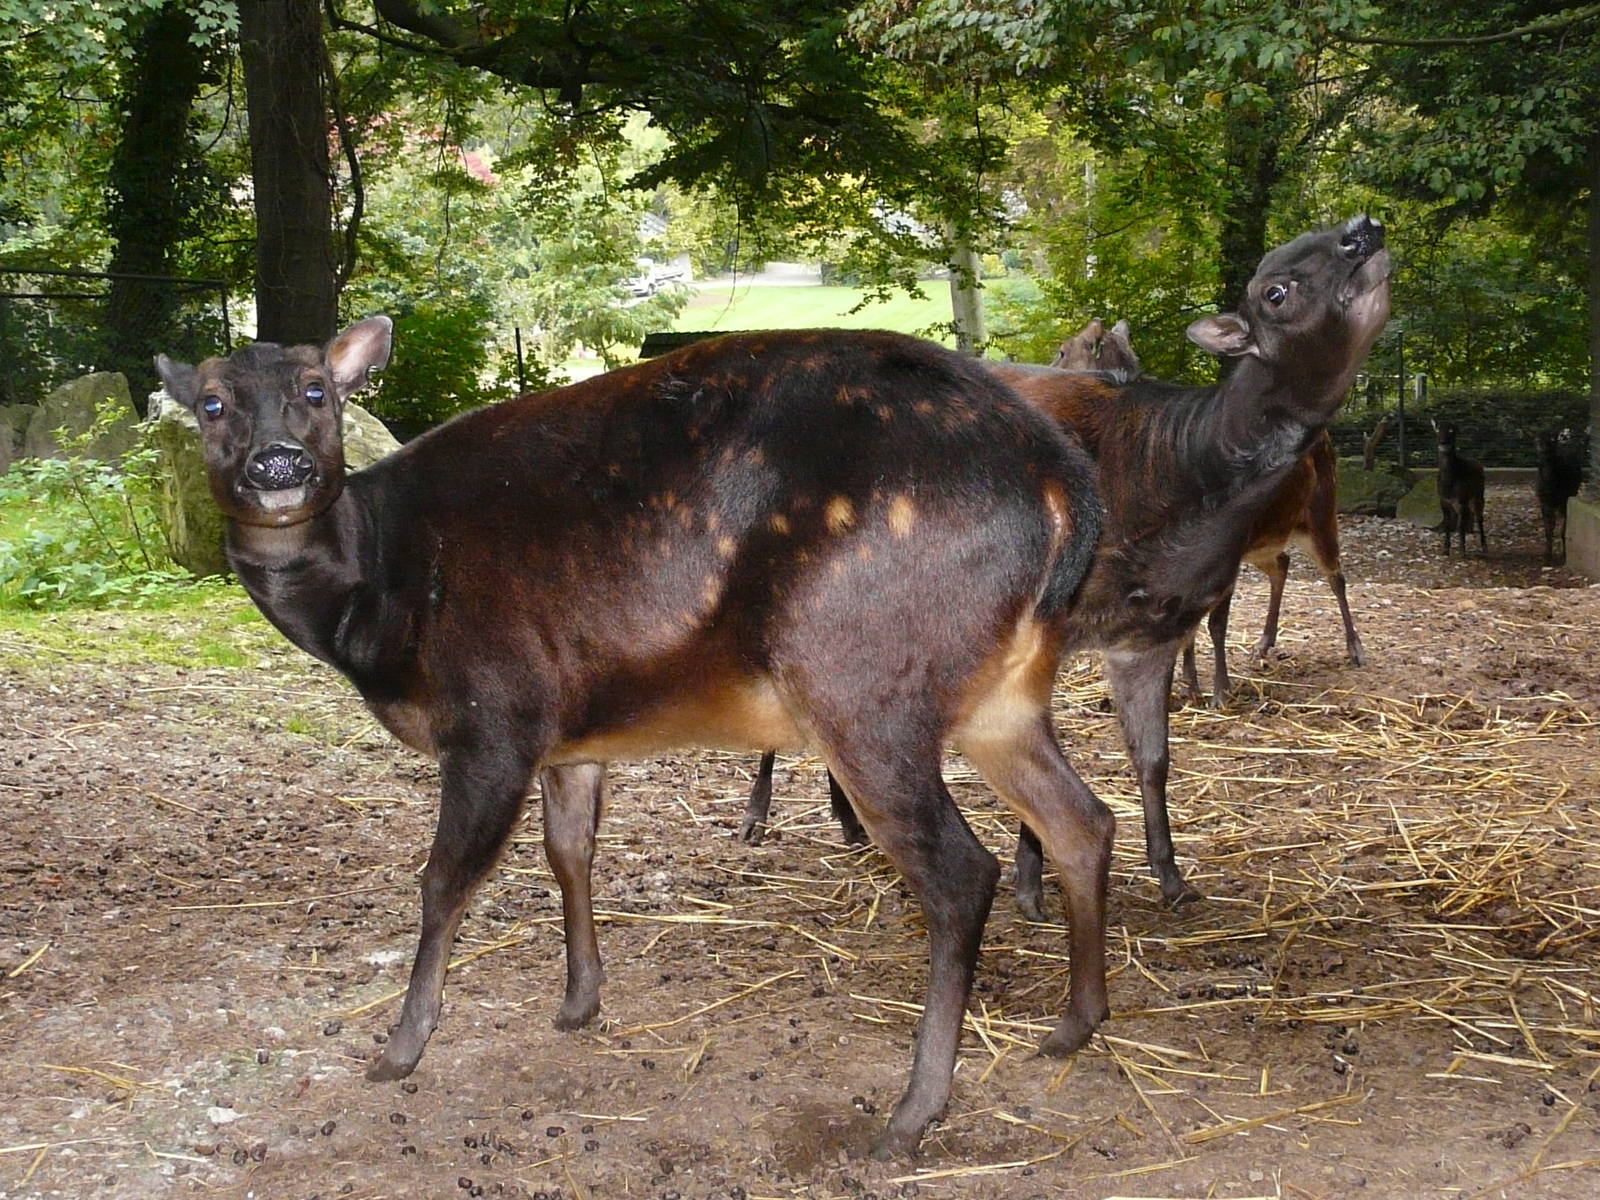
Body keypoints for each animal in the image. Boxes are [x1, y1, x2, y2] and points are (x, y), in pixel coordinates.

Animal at [154, 324, 1106, 1159]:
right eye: (210, 403)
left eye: (318, 389)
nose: (279, 462)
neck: (379, 598)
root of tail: (1065, 486)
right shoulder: (569, 736)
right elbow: (569, 851)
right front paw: (580, 1001)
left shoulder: (492, 717)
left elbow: (443, 882)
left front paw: (400, 1047)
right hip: (1002, 697)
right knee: (1083, 820)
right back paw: (1073, 1026)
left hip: (864, 681)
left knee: (963, 872)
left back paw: (912, 1113)